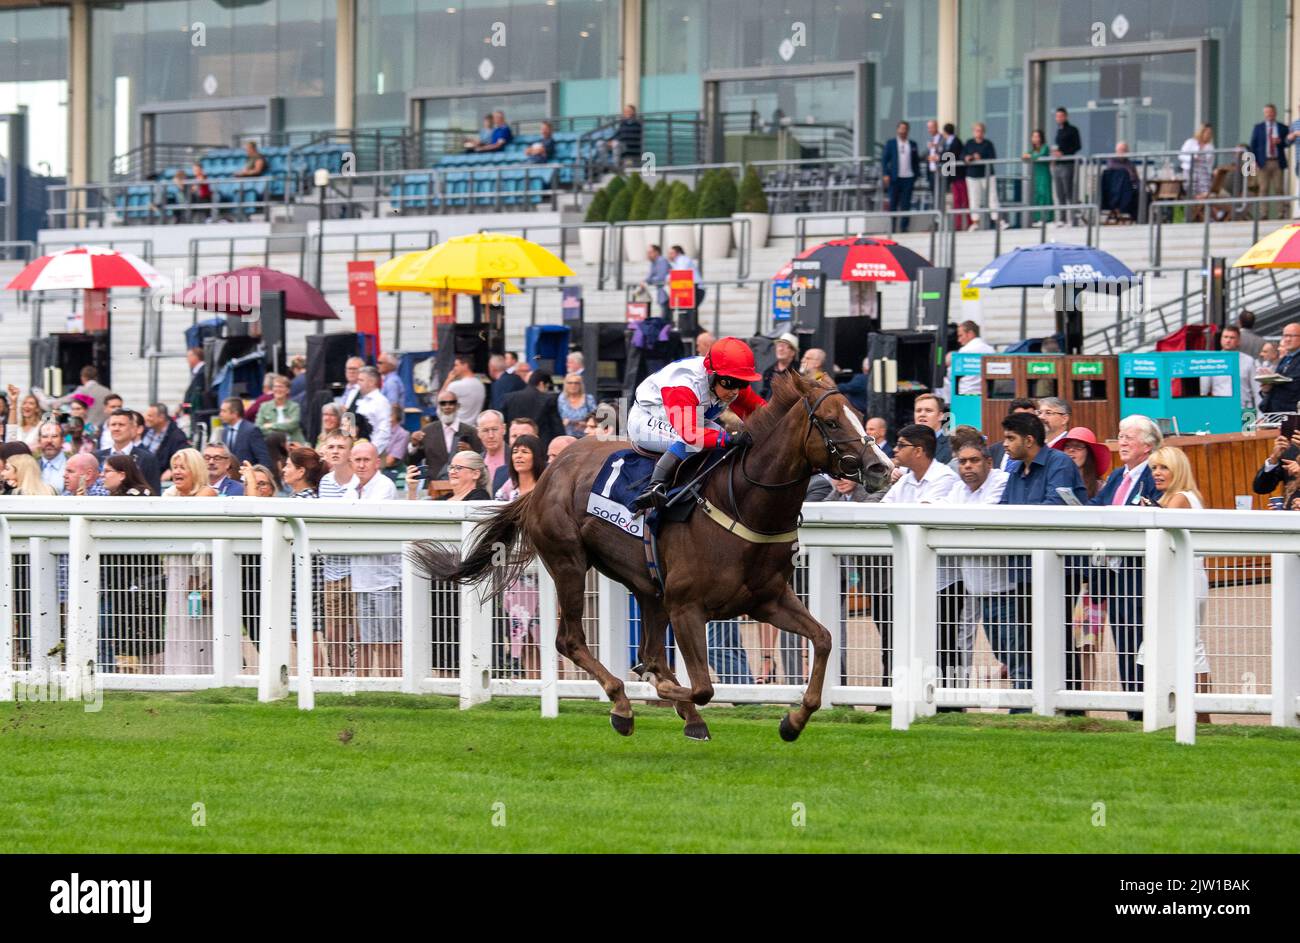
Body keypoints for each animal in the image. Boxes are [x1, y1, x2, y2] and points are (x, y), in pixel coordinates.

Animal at [408, 371, 894, 738]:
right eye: (830, 422)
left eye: (859, 416)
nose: (881, 468)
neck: (741, 502)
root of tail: (546, 476)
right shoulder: (687, 606)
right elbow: (701, 686)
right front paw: (660, 692)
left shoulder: (768, 600)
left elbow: (824, 639)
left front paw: (792, 721)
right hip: (570, 562)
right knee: (570, 640)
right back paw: (623, 705)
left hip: (648, 587)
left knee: (649, 647)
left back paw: (676, 712)